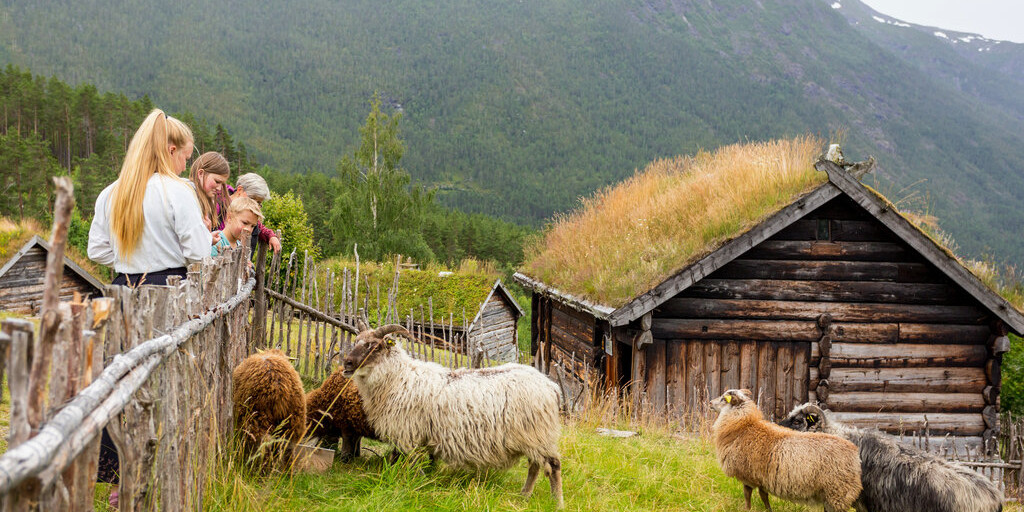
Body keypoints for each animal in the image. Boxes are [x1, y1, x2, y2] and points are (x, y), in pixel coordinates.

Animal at [344, 323, 569, 507]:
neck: (398, 378)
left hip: (539, 432)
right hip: (533, 436)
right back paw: (524, 496)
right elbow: (398, 459)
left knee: (553, 466)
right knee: (535, 466)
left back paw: (557, 503)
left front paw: (418, 483)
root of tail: (552, 386)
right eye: (356, 341)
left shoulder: (407, 432)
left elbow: (411, 462)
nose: (346, 363)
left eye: (373, 346)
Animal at [712, 389, 864, 509]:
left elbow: (748, 495)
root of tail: (855, 453)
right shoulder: (761, 477)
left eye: (723, 399)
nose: (710, 403)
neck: (743, 426)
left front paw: (747, 509)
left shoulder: (747, 474)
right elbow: (763, 495)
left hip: (837, 493)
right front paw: (768, 509)